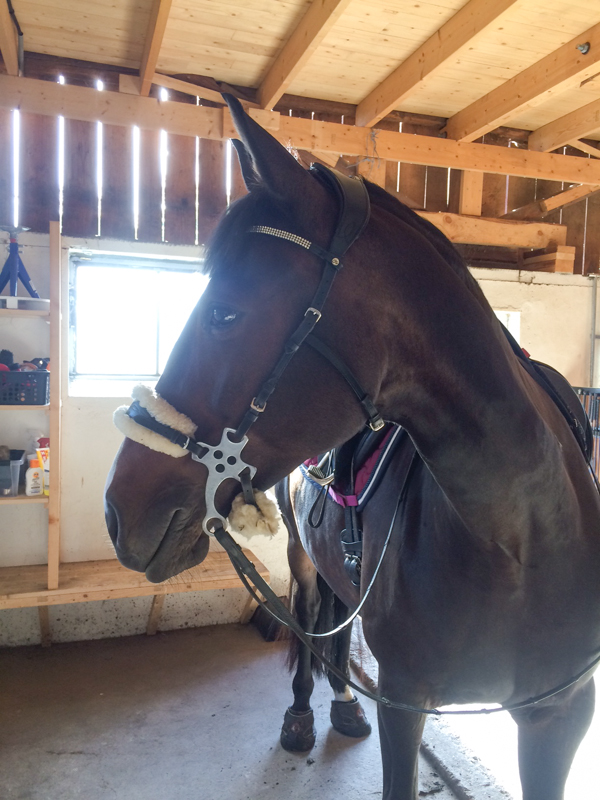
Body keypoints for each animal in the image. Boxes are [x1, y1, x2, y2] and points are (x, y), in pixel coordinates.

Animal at [104, 95, 600, 800]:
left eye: (224, 313)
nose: (118, 509)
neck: (518, 543)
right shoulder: (407, 705)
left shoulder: (557, 715)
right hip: (303, 560)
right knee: (314, 621)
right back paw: (305, 713)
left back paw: (342, 703)